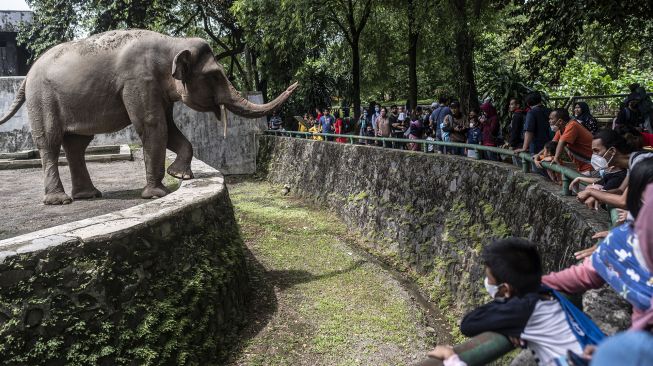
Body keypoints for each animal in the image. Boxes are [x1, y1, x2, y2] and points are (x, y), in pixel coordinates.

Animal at [0, 29, 298, 204]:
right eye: (214, 75)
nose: (295, 83)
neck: (172, 43)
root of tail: (26, 77)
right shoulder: (139, 81)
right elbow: (153, 126)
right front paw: (157, 194)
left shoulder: (158, 88)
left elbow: (170, 128)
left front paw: (180, 176)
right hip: (42, 99)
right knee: (50, 142)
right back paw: (60, 200)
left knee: (76, 144)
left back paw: (89, 195)